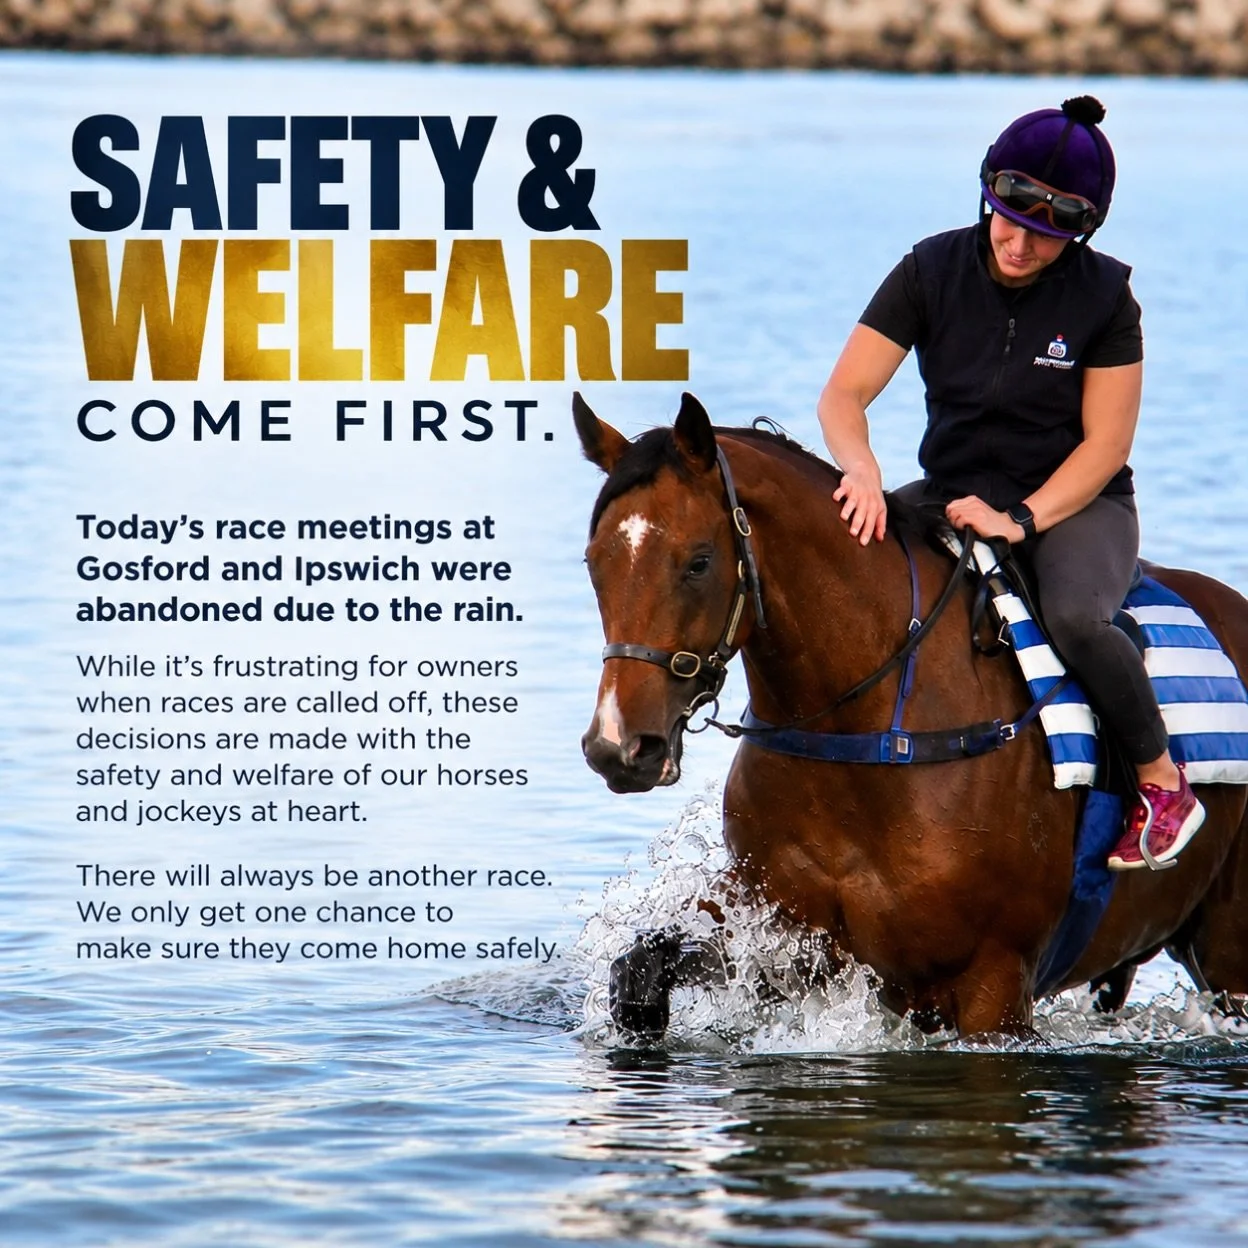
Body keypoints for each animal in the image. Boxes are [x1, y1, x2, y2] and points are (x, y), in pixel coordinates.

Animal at [575, 391, 1248, 1039]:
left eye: (698, 562)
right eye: (594, 562)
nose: (618, 746)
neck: (866, 740)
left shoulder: (993, 992)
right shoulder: (775, 938)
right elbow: (640, 967)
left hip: (1226, 952)